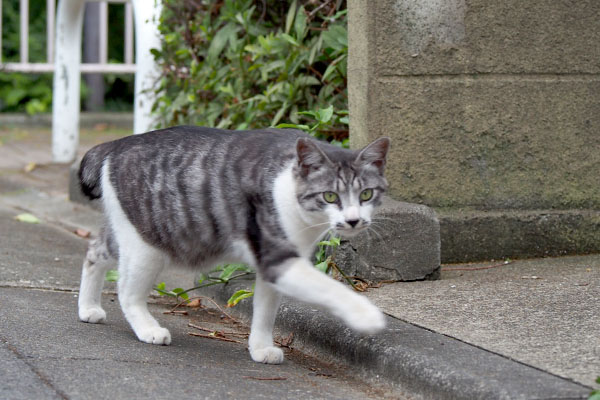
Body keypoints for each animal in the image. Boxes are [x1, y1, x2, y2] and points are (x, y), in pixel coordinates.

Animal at [76, 126, 390, 364]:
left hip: (132, 234)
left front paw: (260, 348)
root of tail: (118, 143)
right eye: (329, 196)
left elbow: (265, 311)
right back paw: (148, 328)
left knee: (94, 252)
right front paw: (367, 316)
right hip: (147, 246)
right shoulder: (277, 257)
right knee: (127, 292)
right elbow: (330, 288)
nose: (353, 220)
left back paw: (88, 308)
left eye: (366, 194)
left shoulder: (273, 265)